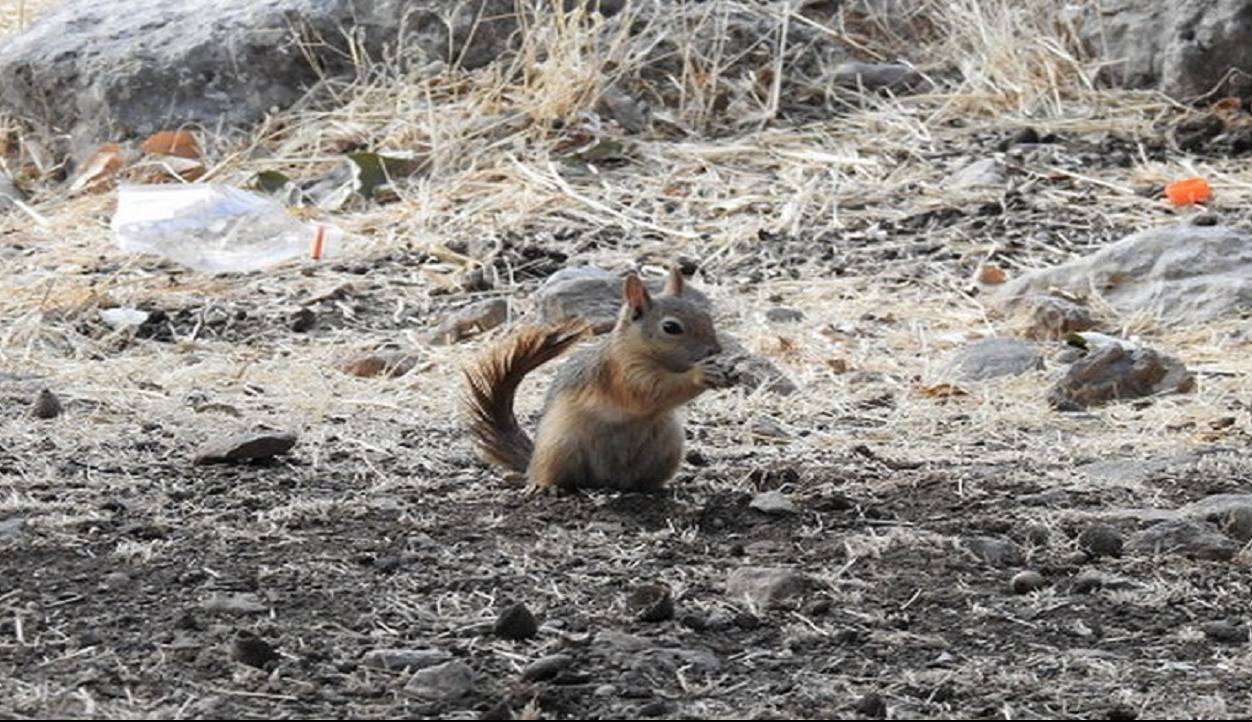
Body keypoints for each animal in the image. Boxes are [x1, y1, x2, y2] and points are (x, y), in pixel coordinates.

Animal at [465, 267, 731, 493]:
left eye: (705, 316)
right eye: (671, 328)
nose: (716, 350)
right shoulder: (621, 373)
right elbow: (651, 391)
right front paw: (700, 374)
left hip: (670, 448)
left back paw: (653, 488)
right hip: (559, 447)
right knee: (550, 474)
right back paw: (544, 486)